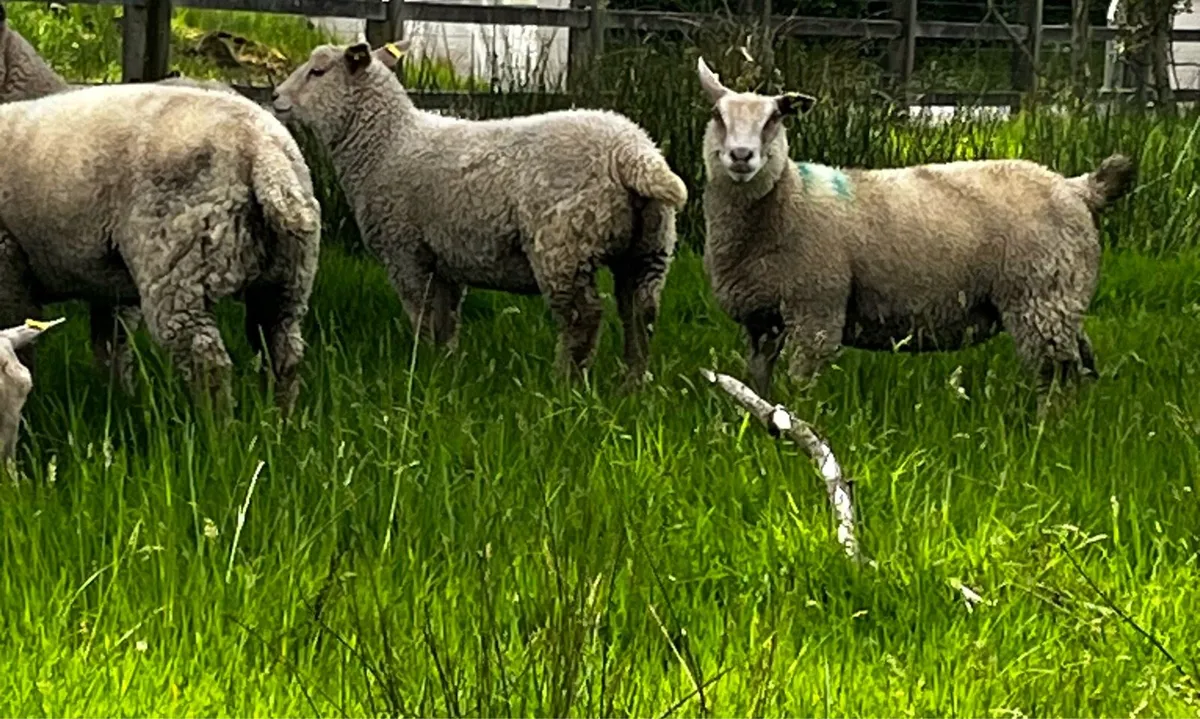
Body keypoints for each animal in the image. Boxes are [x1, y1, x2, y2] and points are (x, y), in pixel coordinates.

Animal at [0, 82, 322, 413]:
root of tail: (262, 148)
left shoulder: (8, 267)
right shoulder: (109, 286)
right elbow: (112, 346)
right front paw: (118, 401)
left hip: (178, 267)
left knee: (207, 361)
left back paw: (215, 423)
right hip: (287, 277)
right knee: (282, 350)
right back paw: (280, 419)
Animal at [271, 40, 688, 386]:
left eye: (318, 71)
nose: (275, 97)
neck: (386, 144)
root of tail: (631, 151)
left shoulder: (405, 251)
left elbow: (421, 316)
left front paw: (420, 364)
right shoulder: (444, 260)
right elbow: (446, 320)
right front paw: (443, 366)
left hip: (564, 246)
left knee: (583, 318)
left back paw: (565, 384)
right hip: (650, 247)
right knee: (641, 313)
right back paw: (632, 385)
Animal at [696, 57, 1135, 402]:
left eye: (774, 119)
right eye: (717, 116)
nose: (741, 156)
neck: (789, 200)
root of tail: (1079, 187)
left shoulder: (815, 311)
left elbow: (801, 385)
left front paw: (794, 428)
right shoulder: (760, 321)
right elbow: (757, 383)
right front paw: (757, 425)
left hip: (1039, 297)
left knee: (1055, 375)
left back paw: (1047, 433)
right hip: (1062, 299)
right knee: (1082, 366)